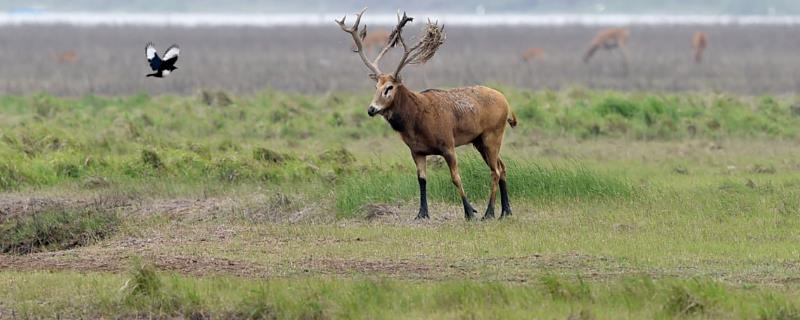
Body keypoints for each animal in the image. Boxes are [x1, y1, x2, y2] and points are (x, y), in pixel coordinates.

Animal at [332, 8, 516, 221]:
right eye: (375, 86)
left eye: (389, 87)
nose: (371, 109)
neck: (416, 123)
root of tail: (507, 104)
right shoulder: (417, 151)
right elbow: (421, 180)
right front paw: (422, 213)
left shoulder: (448, 144)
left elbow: (455, 178)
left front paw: (470, 211)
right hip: (479, 141)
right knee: (502, 167)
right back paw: (506, 210)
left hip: (492, 135)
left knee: (495, 170)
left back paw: (489, 212)